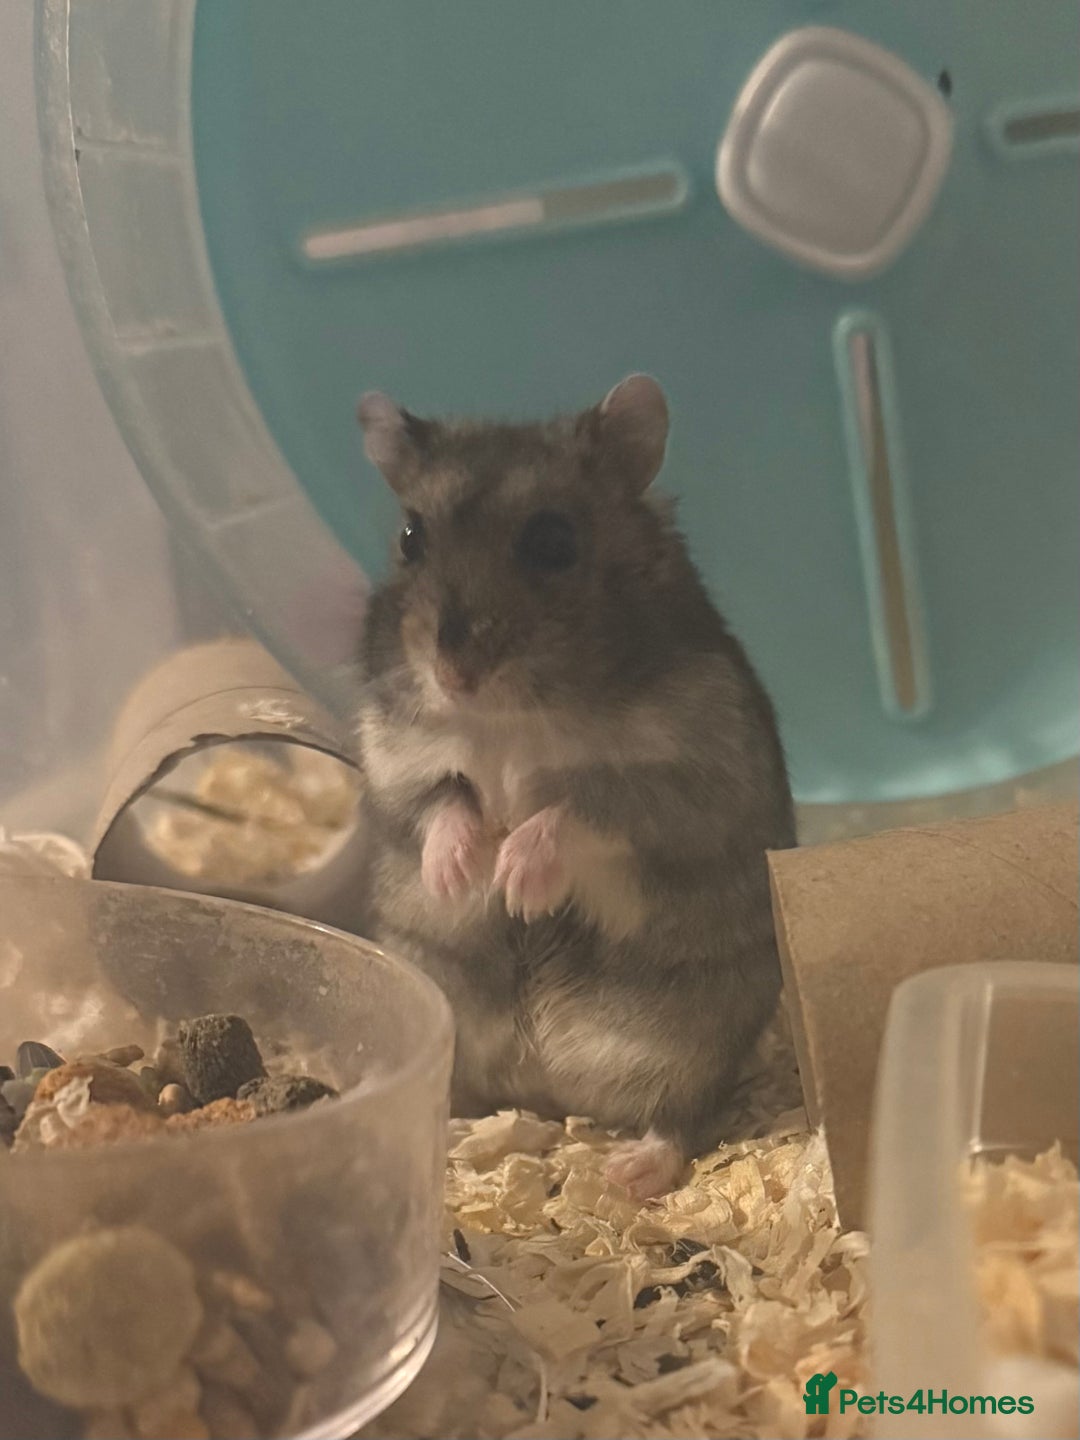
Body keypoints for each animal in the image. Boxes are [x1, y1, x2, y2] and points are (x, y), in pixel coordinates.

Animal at [354, 375, 796, 1199]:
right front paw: (460, 874)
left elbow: (573, 808)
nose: (453, 673)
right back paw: (458, 1135)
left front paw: (518, 884)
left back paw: (630, 1171)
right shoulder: (398, 757)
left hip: (691, 1038)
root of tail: (550, 1090)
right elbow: (442, 802)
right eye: (409, 538)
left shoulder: (684, 783)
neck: (511, 717)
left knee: (681, 1115)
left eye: (553, 542)